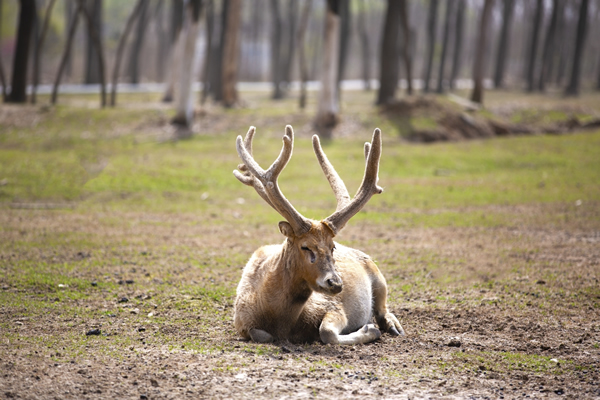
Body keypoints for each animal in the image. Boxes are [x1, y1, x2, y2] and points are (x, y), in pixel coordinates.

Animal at [232, 125, 406, 344]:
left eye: (333, 247)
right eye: (305, 246)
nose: (336, 283)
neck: (281, 320)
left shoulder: (332, 305)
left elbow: (326, 332)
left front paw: (370, 329)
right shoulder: (242, 323)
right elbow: (261, 335)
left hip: (377, 274)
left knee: (383, 307)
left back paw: (393, 326)